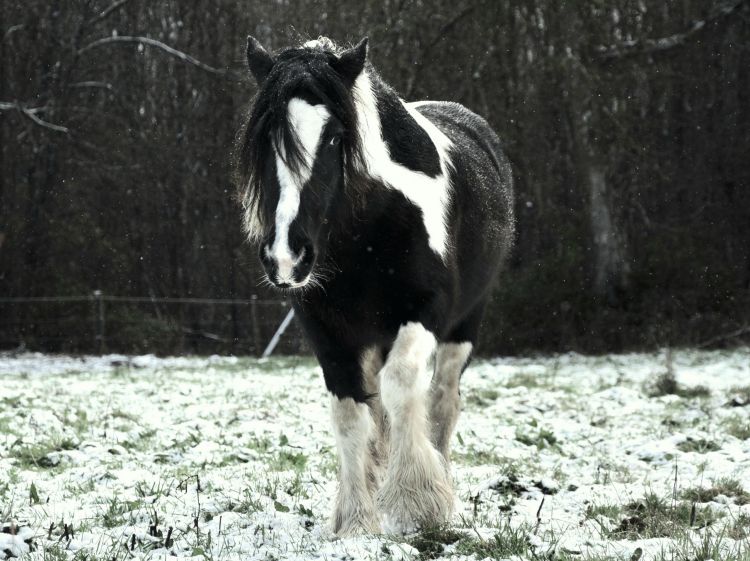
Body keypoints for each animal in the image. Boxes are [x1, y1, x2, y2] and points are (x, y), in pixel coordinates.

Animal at [236, 34, 516, 532]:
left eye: (333, 136)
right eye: (266, 137)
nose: (286, 256)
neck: (369, 226)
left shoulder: (425, 311)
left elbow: (403, 385)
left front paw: (417, 501)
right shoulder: (326, 328)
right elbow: (351, 414)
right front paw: (355, 520)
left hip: (464, 325)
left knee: (442, 400)